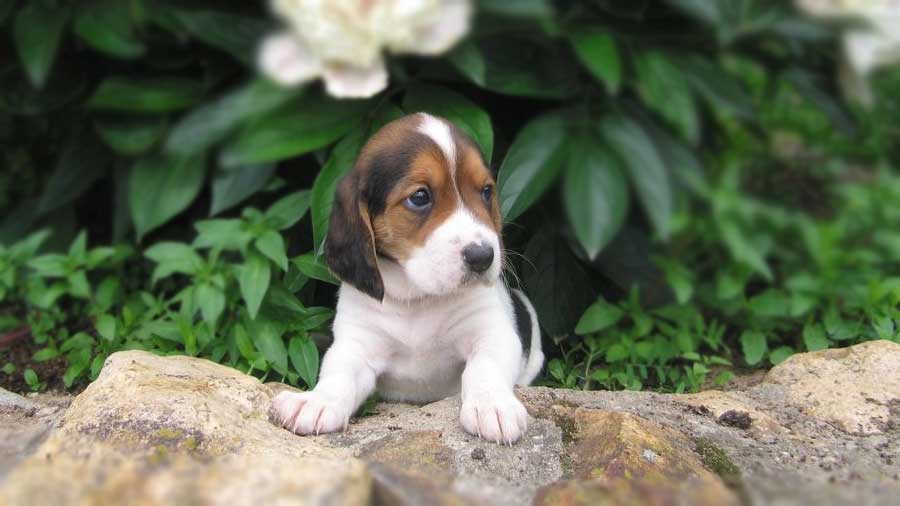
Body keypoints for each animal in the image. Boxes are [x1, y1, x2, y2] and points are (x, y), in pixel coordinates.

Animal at [272, 113, 540, 442]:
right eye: (420, 197)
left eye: (486, 192)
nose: (483, 256)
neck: (417, 296)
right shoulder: (357, 344)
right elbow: (338, 374)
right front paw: (317, 402)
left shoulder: (491, 332)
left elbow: (484, 367)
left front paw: (493, 405)